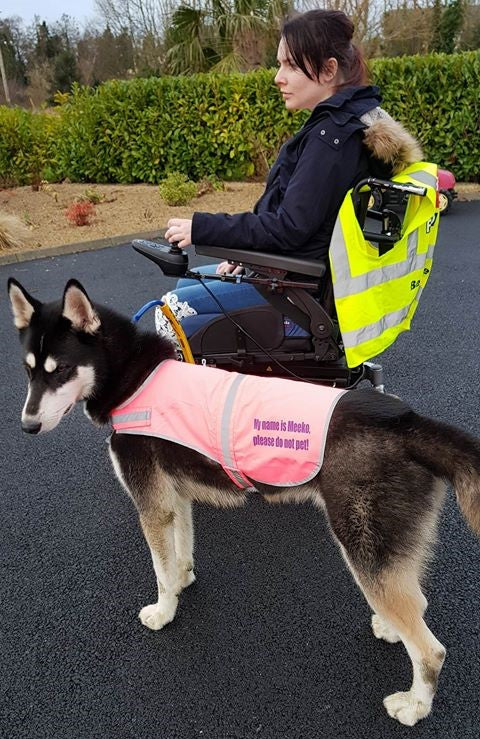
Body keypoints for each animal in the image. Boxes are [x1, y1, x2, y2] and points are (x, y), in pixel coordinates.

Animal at [7, 278, 480, 728]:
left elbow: (161, 572)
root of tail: (407, 422)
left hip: (363, 549)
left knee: (431, 650)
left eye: (62, 370)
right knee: (415, 604)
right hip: (385, 552)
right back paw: (391, 628)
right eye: (28, 371)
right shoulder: (176, 499)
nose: (27, 426)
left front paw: (164, 611)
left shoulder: (152, 507)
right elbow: (180, 555)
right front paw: (182, 583)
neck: (134, 378)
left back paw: (415, 706)